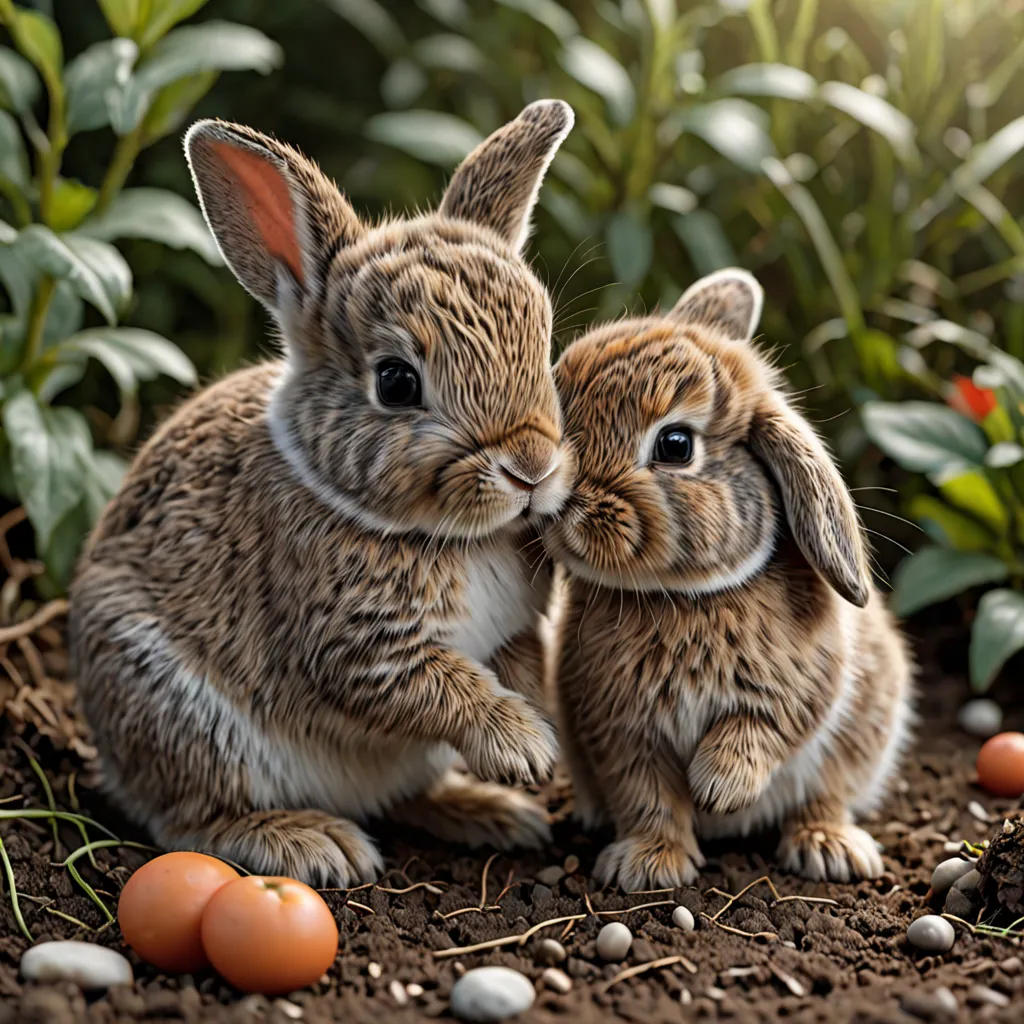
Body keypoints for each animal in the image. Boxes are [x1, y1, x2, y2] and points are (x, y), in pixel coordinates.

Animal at [69, 100, 578, 887]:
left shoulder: (514, 630)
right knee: (189, 819)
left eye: (543, 343)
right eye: (396, 381)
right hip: (180, 715)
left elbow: (514, 664)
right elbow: (440, 689)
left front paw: (539, 733)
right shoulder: (363, 647)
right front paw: (524, 746)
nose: (532, 467)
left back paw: (488, 812)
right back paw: (309, 842)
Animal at [544, 268, 914, 889]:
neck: (685, 597)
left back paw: (828, 849)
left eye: (675, 445)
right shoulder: (621, 729)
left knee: (825, 795)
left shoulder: (803, 683)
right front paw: (650, 865)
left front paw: (717, 790)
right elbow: (646, 794)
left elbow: (765, 727)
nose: (555, 500)